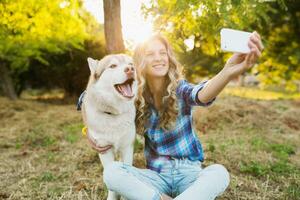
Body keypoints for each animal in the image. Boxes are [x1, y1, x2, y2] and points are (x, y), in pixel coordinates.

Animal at [79, 54, 136, 200]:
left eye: (130, 64)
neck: (113, 114)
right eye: (113, 66)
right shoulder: (104, 149)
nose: (130, 69)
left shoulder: (127, 147)